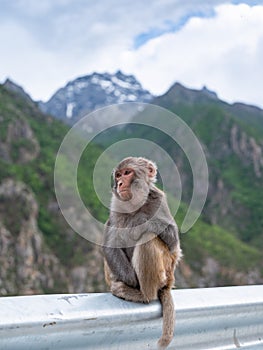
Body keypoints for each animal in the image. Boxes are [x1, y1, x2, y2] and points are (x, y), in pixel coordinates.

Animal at [103, 157, 182, 348]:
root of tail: (169, 280)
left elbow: (173, 243)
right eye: (118, 175)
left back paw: (142, 295)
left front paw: (138, 220)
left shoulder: (158, 200)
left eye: (127, 173)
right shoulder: (115, 207)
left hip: (165, 270)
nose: (120, 183)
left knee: (148, 238)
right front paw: (131, 280)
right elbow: (111, 244)